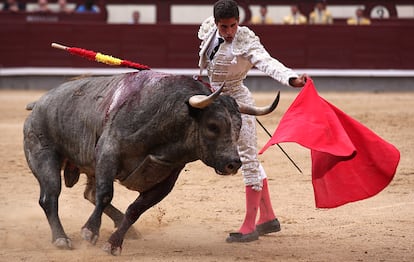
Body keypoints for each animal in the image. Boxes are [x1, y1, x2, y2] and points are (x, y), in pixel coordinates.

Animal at [23, 70, 282, 256]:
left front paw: (114, 243)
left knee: (89, 194)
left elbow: (135, 209)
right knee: (50, 197)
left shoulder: (167, 178)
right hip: (45, 155)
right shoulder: (109, 152)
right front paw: (90, 232)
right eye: (212, 126)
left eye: (239, 127)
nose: (233, 163)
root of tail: (38, 103)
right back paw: (61, 239)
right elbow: (106, 194)